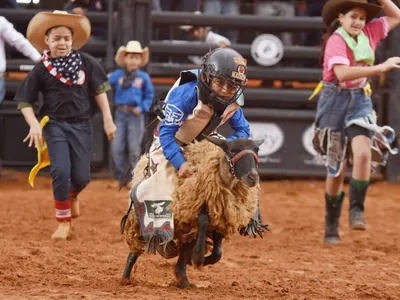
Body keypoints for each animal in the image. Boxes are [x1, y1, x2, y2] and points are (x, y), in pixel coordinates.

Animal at [120, 136, 268, 288]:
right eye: (232, 151)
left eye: (257, 150)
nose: (253, 177)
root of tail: (142, 160)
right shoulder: (193, 211)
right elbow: (203, 221)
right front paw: (197, 258)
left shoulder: (222, 219)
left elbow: (217, 254)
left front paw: (195, 260)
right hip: (140, 219)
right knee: (137, 245)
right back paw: (126, 278)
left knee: (184, 250)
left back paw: (183, 279)